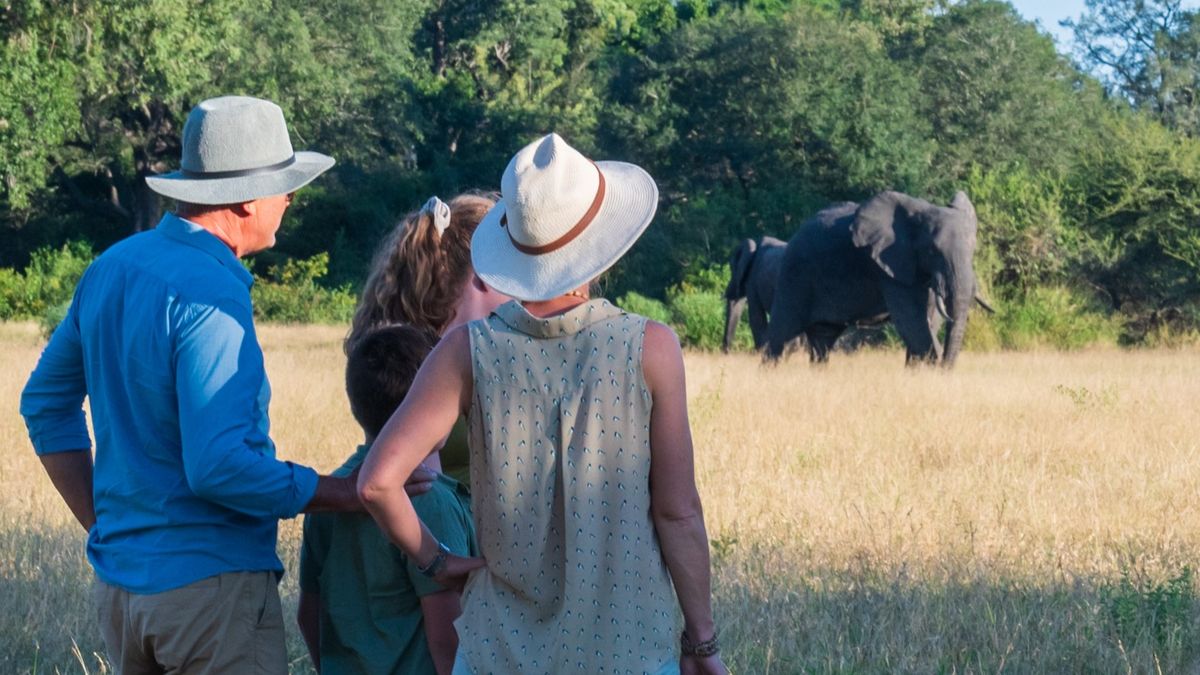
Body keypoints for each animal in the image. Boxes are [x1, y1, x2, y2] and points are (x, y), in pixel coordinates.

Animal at [764, 191, 984, 367]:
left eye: (973, 249)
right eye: (932, 250)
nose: (946, 368)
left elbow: (927, 322)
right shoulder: (889, 268)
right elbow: (912, 322)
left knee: (822, 341)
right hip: (794, 275)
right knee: (781, 334)